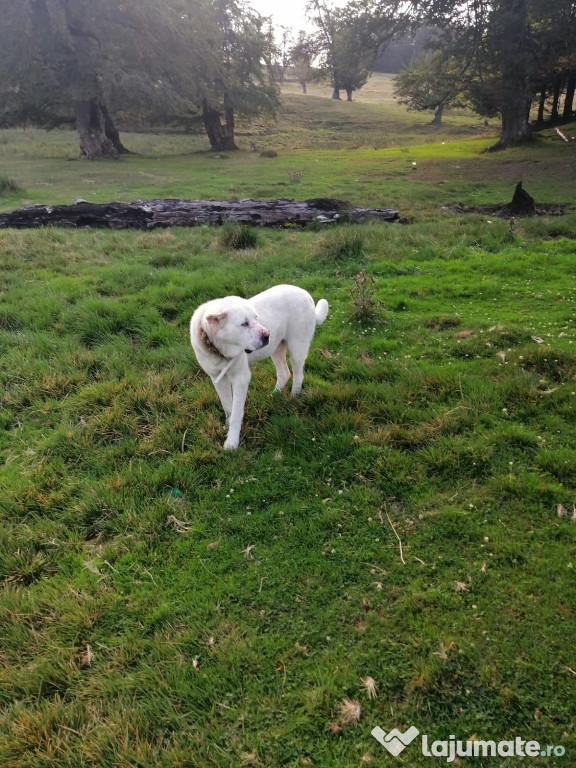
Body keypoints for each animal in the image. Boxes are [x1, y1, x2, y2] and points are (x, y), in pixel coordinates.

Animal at [191, 284, 328, 450]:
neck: (217, 349)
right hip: (276, 348)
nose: (267, 335)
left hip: (297, 347)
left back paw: (294, 396)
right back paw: (274, 395)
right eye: (244, 323)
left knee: (298, 375)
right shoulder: (217, 378)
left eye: (256, 318)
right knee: (284, 373)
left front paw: (232, 442)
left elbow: (236, 412)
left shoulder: (241, 379)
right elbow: (228, 406)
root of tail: (305, 294)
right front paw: (227, 426)